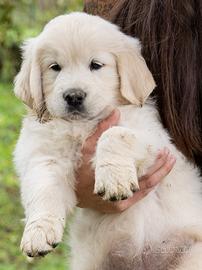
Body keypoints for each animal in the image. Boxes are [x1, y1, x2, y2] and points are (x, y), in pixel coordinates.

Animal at [14, 12, 202, 270]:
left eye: (96, 65)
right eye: (55, 67)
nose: (73, 96)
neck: (81, 126)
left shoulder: (153, 138)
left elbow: (114, 134)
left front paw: (114, 179)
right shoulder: (42, 155)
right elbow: (44, 190)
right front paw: (38, 233)